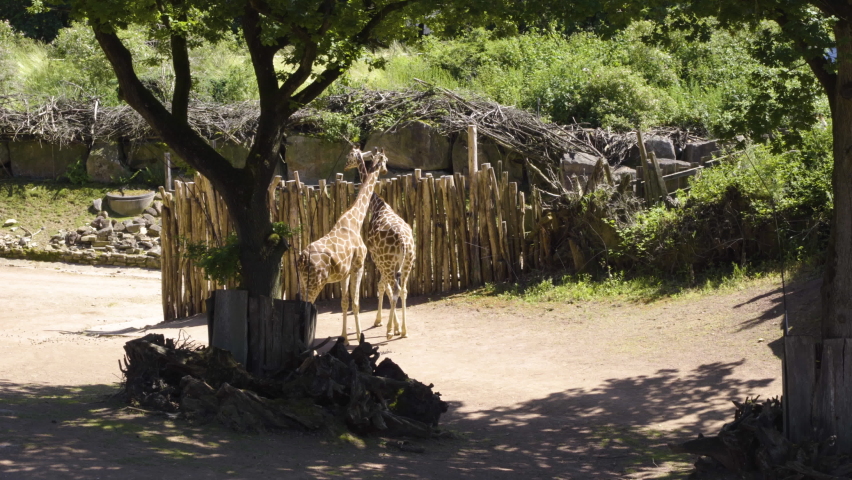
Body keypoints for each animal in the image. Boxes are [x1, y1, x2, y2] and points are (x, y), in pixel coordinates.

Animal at [297, 147, 388, 345]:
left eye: (350, 156)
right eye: (385, 159)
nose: (385, 170)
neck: (356, 219)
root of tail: (301, 259)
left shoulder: (344, 272)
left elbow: (345, 302)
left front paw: (345, 338)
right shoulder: (358, 266)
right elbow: (356, 303)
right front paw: (360, 338)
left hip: (303, 282)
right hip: (315, 282)